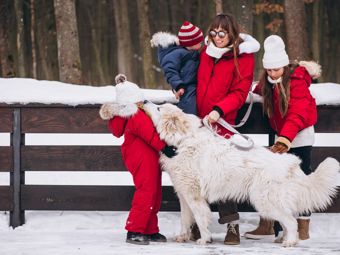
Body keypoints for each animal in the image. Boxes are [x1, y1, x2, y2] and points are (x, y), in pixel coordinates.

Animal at [143, 101, 340, 247]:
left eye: (159, 108)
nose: (144, 101)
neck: (182, 141)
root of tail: (290, 163)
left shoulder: (194, 195)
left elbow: (200, 217)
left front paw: (204, 239)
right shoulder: (184, 195)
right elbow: (185, 219)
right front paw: (182, 237)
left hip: (265, 201)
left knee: (291, 221)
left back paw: (289, 242)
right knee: (288, 220)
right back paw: (284, 239)